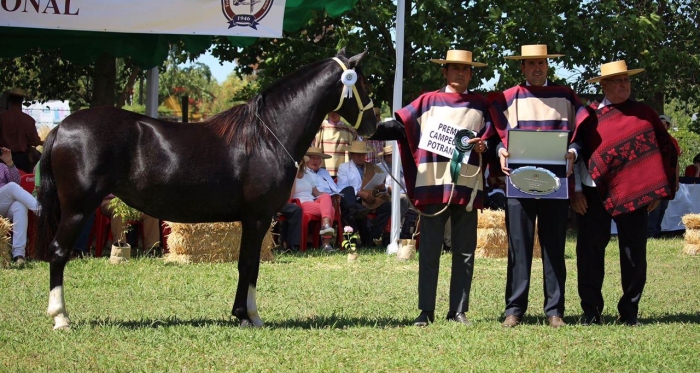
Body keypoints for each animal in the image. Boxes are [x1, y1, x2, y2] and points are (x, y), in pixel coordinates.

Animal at [37, 48, 378, 326]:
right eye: (363, 84)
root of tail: (61, 128)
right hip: (77, 209)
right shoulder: (257, 218)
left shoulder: (254, 220)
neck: (265, 137)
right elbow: (248, 264)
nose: (374, 126)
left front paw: (247, 314)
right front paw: (247, 315)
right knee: (58, 252)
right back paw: (60, 318)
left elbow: (250, 265)